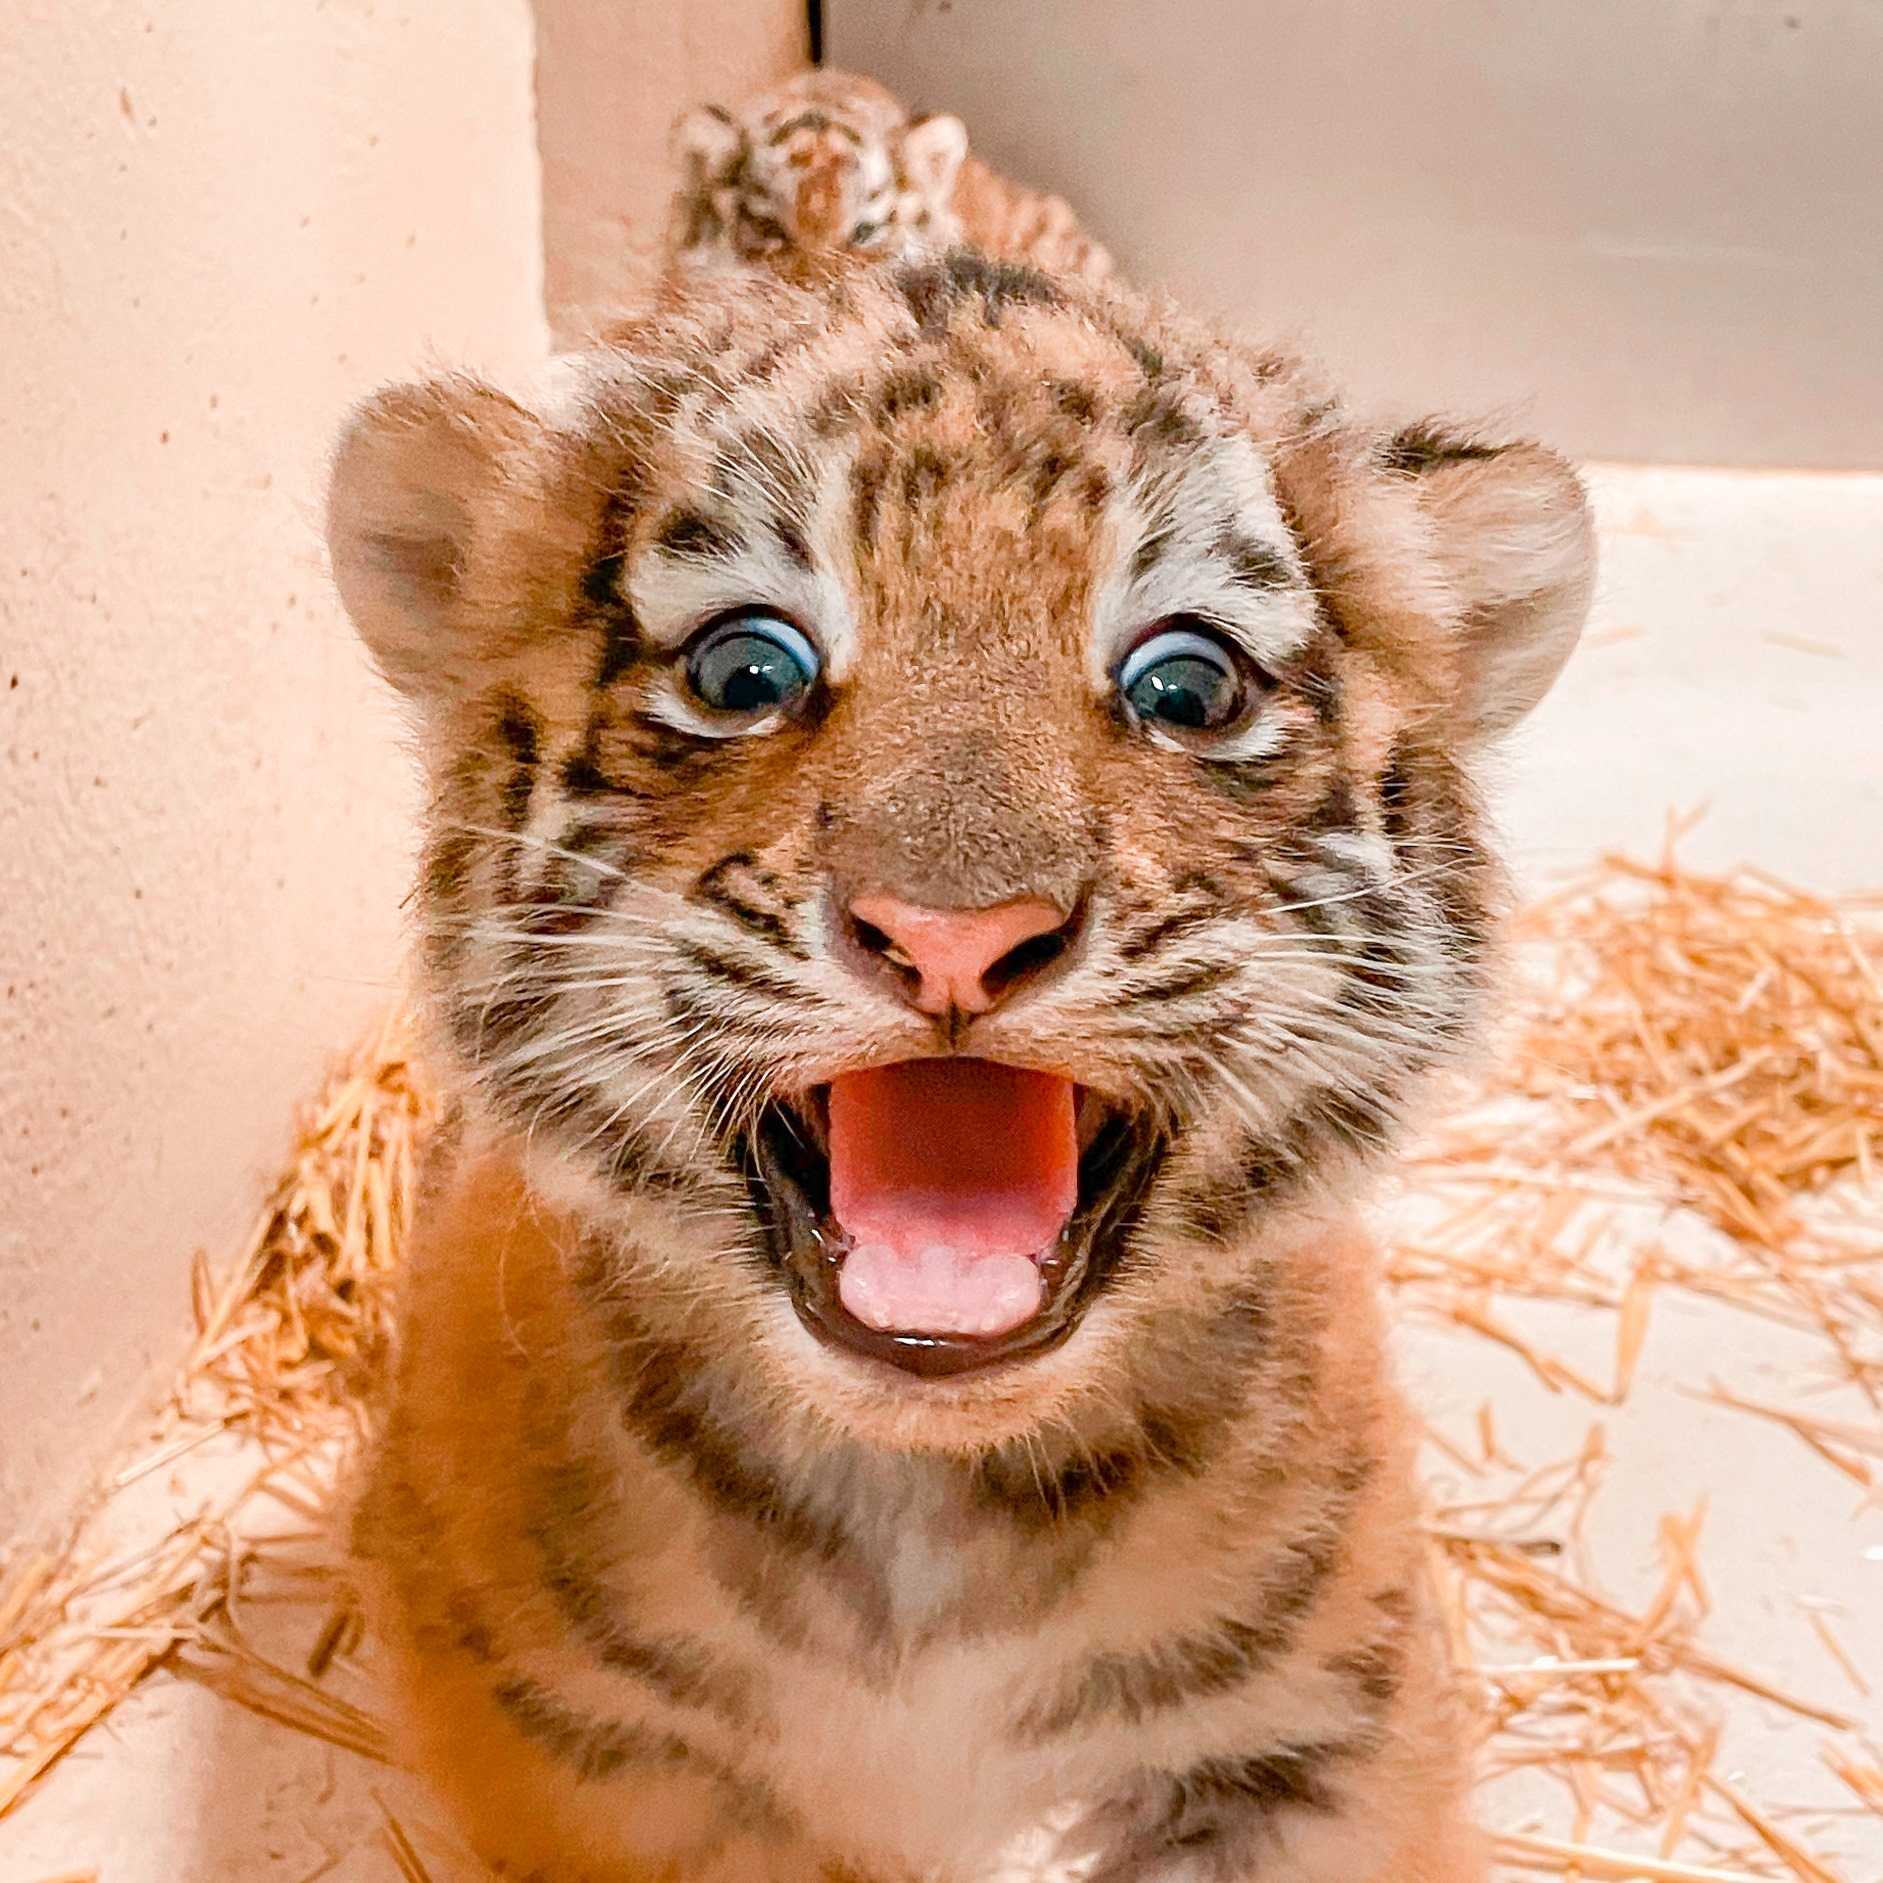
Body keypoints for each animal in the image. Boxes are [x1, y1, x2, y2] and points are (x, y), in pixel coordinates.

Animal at [325, 249, 1594, 1882]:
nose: (951, 935)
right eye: (747, 667)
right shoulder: (574, 1741)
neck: (925, 1492)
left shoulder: (1326, 1723)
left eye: (1185, 686)